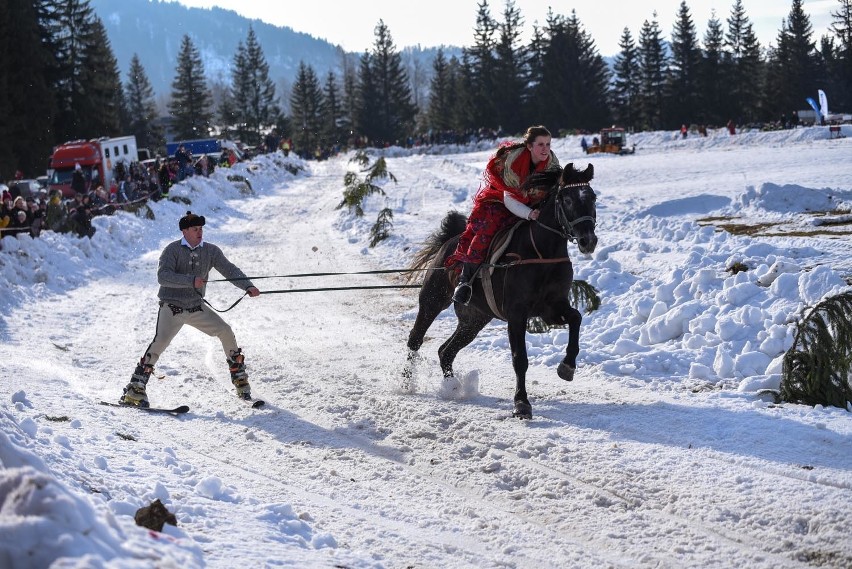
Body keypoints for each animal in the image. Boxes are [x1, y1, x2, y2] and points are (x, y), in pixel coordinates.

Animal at [406, 163, 600, 418]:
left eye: (593, 197)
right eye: (567, 199)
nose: (588, 241)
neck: (541, 254)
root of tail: (449, 243)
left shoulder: (552, 308)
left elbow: (576, 318)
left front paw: (566, 367)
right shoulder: (516, 315)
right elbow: (520, 359)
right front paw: (521, 403)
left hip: (474, 320)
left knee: (445, 351)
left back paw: (452, 386)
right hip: (433, 300)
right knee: (415, 339)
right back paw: (407, 382)